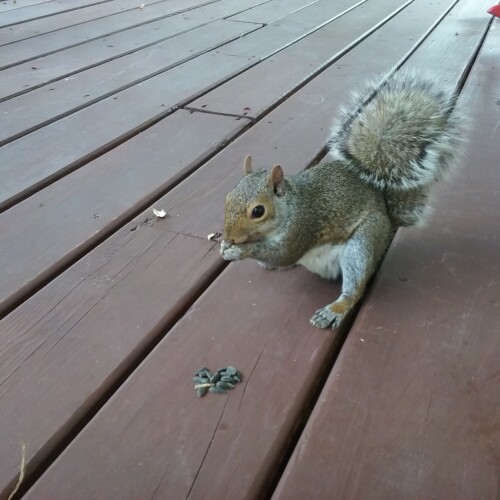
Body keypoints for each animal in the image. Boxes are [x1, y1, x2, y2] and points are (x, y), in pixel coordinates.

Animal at [221, 70, 462, 328]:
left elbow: (284, 254)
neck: (290, 206)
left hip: (364, 242)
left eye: (258, 211)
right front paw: (226, 247)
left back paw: (334, 309)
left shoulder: (301, 227)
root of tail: (388, 221)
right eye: (227, 198)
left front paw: (240, 251)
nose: (230, 237)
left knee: (354, 286)